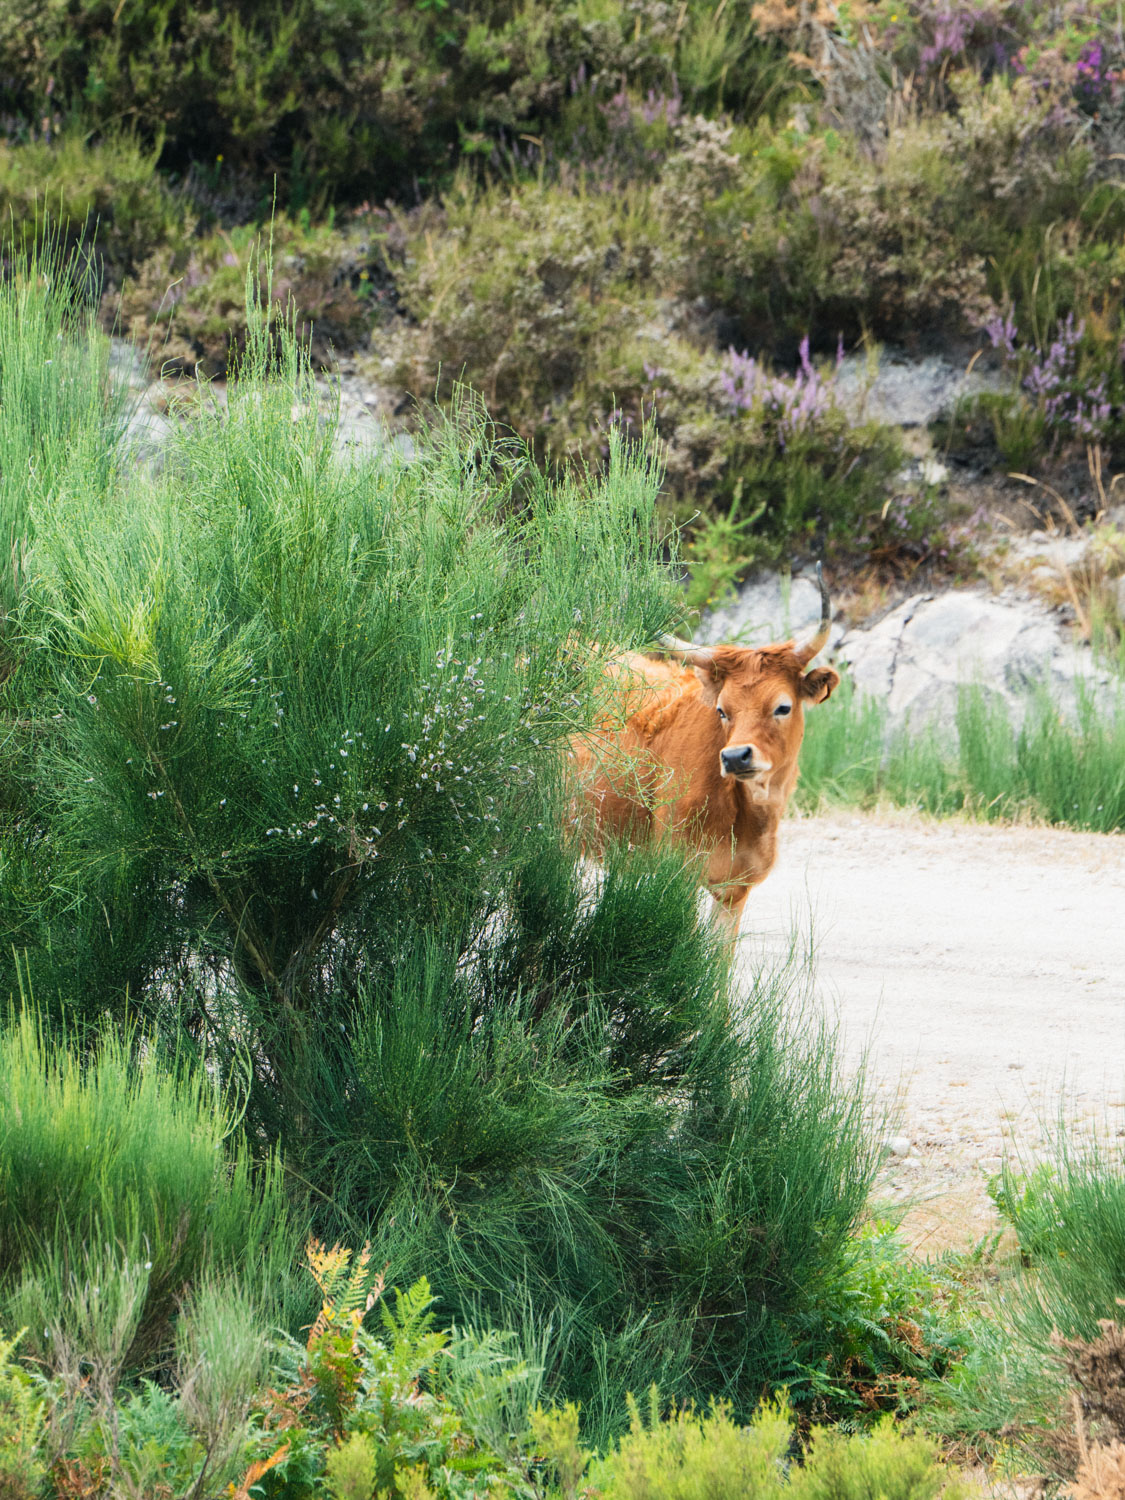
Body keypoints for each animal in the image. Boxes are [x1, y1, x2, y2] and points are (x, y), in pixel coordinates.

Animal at [575, 567, 838, 939]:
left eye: (783, 707)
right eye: (722, 710)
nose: (736, 757)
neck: (746, 812)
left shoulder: (734, 890)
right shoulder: (676, 873)